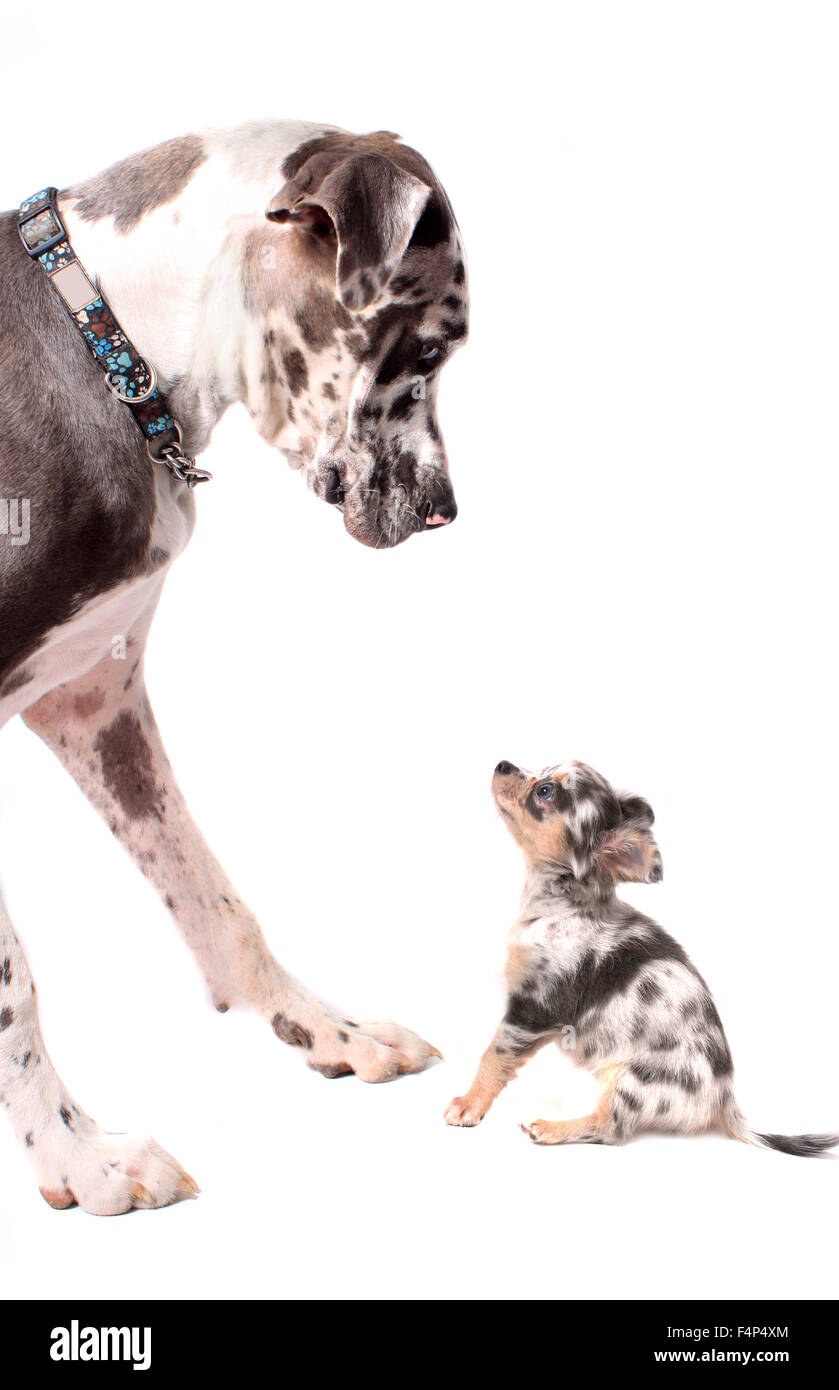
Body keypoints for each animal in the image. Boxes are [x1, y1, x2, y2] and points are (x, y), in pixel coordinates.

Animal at [0, 119, 469, 1212]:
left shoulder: (93, 700)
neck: (110, 340)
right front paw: (76, 1154)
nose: (445, 510)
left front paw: (326, 1026)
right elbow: (12, 979)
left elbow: (215, 896)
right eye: (431, 348)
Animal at [441, 761, 833, 1150]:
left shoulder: (534, 1009)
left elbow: (493, 1056)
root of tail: (724, 1100)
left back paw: (552, 1128)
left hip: (629, 1079)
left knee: (608, 1128)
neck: (559, 905)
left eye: (545, 791)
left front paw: (468, 1105)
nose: (502, 764)